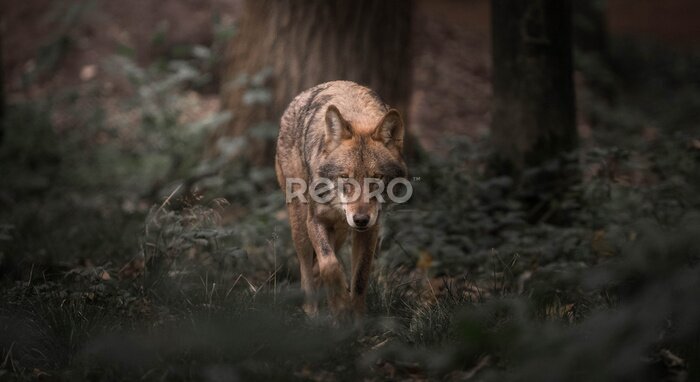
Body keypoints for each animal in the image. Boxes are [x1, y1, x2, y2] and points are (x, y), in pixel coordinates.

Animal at [274, 81, 404, 320]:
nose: (361, 219)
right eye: (345, 177)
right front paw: (341, 307)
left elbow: (360, 278)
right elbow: (330, 264)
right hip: (300, 222)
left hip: (342, 230)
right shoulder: (315, 221)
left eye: (377, 178)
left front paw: (357, 319)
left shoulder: (371, 229)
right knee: (306, 268)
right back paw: (312, 312)